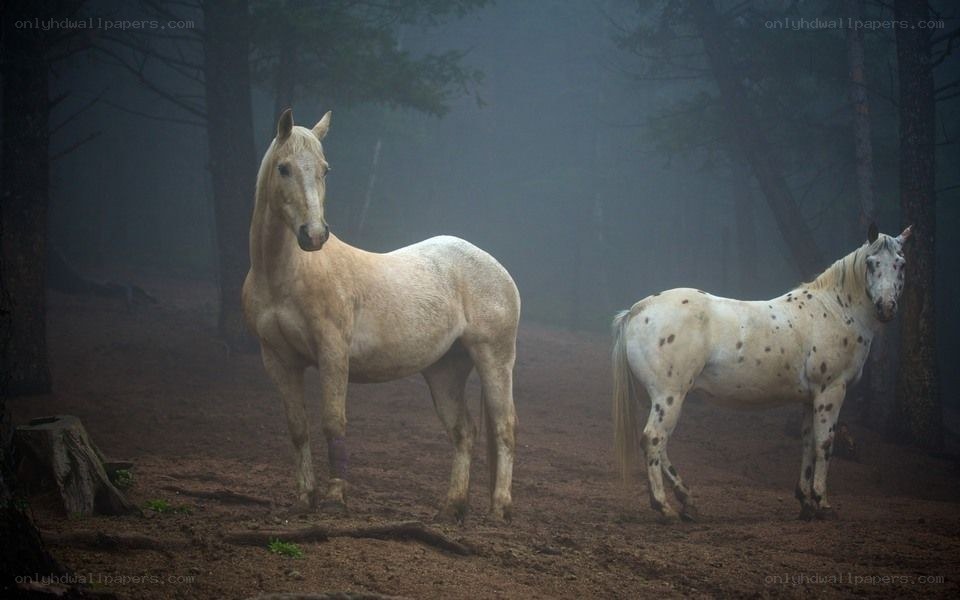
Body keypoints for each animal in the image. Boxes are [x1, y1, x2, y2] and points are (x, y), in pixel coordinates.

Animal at [242, 109, 520, 521]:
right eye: (284, 168)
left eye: (325, 169)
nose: (314, 235)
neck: (285, 274)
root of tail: (497, 268)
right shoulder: (278, 359)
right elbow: (297, 428)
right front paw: (304, 498)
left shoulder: (333, 354)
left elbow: (333, 422)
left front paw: (335, 498)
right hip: (445, 369)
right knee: (464, 431)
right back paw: (451, 507)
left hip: (495, 359)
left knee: (504, 428)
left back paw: (499, 509)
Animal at [611, 224, 911, 522]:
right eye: (871, 263)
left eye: (901, 264)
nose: (886, 307)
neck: (834, 309)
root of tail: (638, 310)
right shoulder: (831, 391)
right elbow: (824, 444)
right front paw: (822, 503)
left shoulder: (810, 398)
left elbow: (807, 443)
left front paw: (805, 502)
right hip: (669, 395)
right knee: (653, 440)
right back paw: (663, 505)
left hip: (661, 398)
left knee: (659, 446)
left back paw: (687, 500)